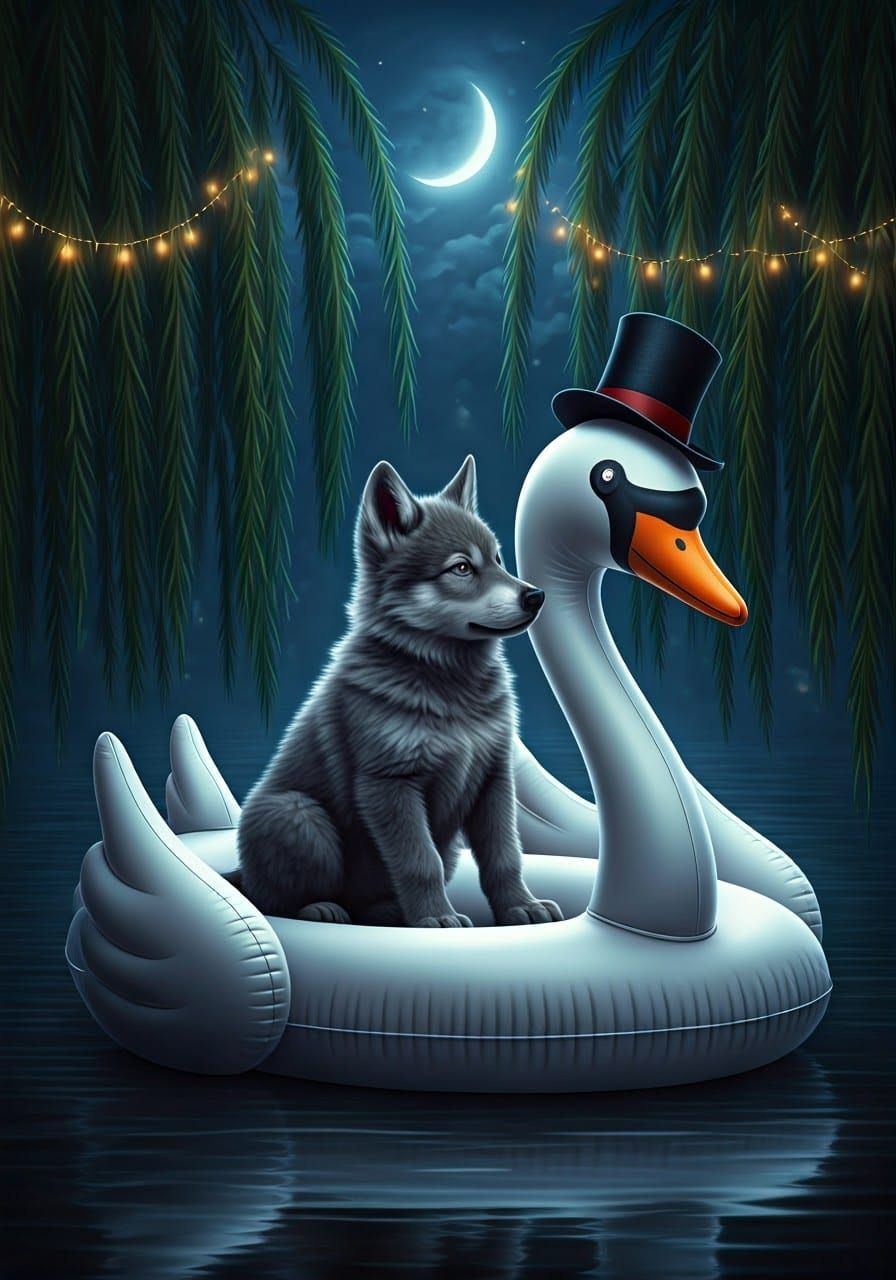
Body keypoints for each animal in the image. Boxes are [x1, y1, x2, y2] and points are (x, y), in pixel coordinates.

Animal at [237, 455, 563, 929]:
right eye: (461, 567)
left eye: (499, 559)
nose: (536, 596)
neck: (449, 684)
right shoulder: (389, 785)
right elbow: (419, 861)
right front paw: (438, 919)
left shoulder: (495, 778)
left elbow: (504, 855)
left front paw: (522, 906)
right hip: (297, 815)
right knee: (270, 898)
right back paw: (322, 908)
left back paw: (387, 911)